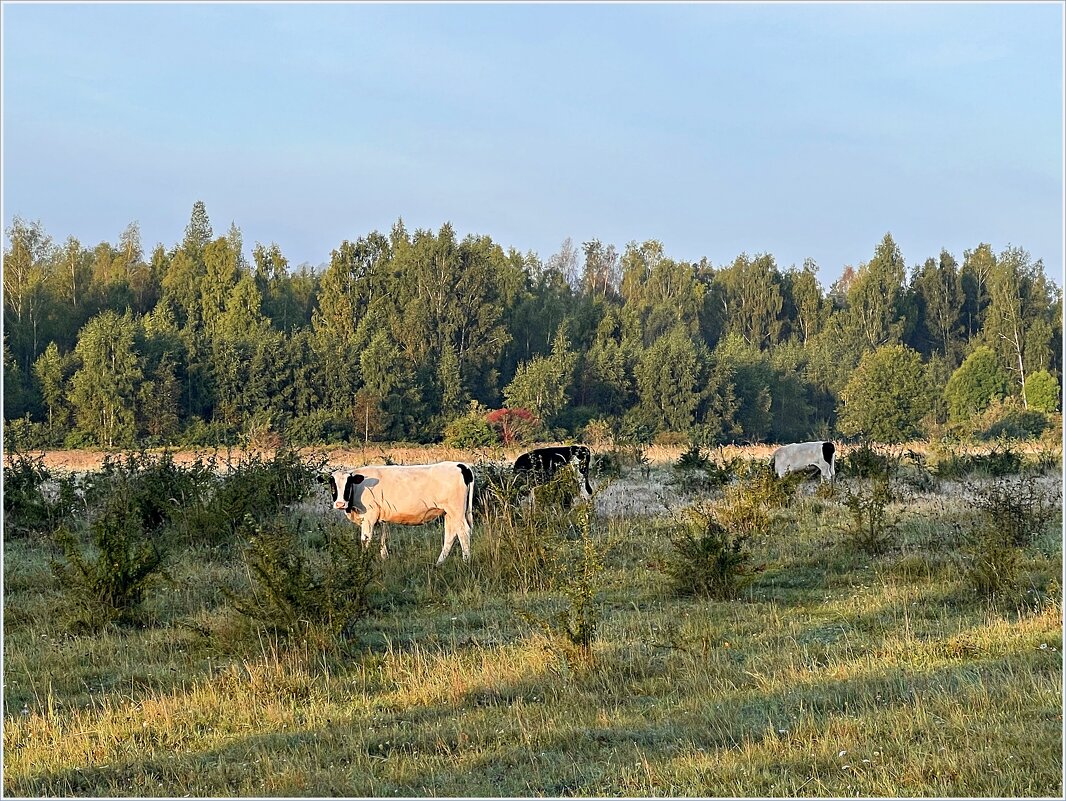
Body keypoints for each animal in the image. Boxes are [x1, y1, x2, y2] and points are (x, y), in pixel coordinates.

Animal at [319, 460, 475, 567]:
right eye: (332, 484)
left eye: (348, 484)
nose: (340, 504)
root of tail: (460, 465)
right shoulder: (381, 519)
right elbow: (383, 538)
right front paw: (384, 559)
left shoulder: (369, 517)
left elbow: (365, 540)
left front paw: (362, 563)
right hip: (449, 513)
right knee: (450, 535)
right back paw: (439, 564)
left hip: (457, 511)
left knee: (463, 532)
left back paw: (466, 562)